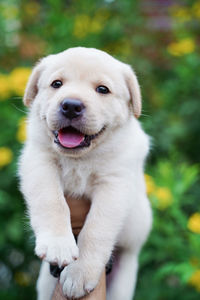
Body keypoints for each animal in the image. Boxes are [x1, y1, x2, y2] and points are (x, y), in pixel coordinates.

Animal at [19, 47, 152, 300]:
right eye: (57, 84)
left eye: (102, 89)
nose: (71, 105)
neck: (79, 159)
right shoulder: (38, 161)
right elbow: (51, 201)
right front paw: (58, 244)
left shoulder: (115, 184)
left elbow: (96, 228)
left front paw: (79, 273)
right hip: (45, 285)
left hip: (124, 278)